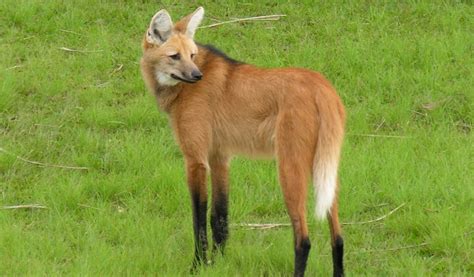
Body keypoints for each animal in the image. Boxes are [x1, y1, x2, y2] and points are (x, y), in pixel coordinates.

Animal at [139, 7, 346, 276]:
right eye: (175, 56)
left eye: (191, 55)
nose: (197, 75)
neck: (180, 89)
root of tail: (321, 86)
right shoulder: (219, 157)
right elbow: (219, 217)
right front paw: (218, 263)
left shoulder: (195, 160)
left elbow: (199, 219)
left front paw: (198, 265)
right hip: (323, 167)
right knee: (338, 237)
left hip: (289, 168)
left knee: (303, 239)